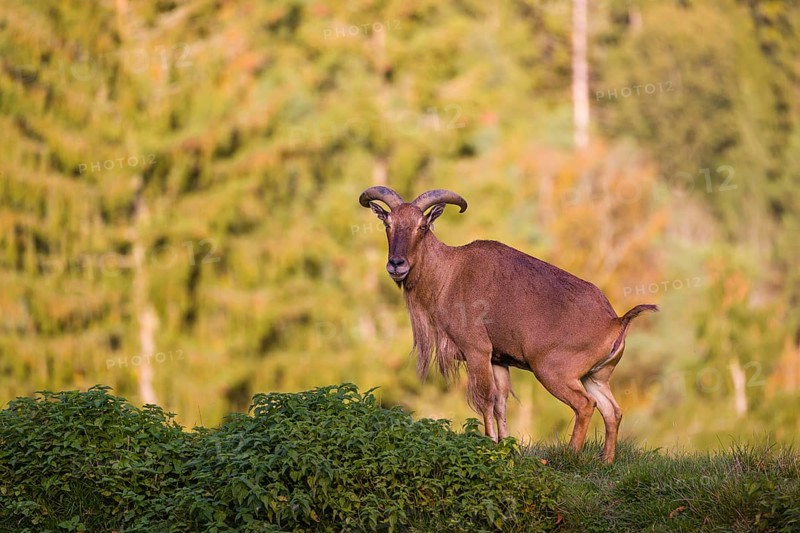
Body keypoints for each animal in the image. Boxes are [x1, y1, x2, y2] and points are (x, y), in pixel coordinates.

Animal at [359, 186, 657, 463]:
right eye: (388, 223)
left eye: (422, 226)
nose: (396, 264)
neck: (448, 275)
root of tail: (614, 322)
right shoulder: (499, 360)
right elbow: (501, 402)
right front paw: (504, 444)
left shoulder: (477, 351)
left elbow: (485, 399)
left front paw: (489, 444)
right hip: (595, 377)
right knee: (612, 411)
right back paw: (606, 461)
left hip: (553, 372)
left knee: (585, 405)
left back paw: (571, 454)